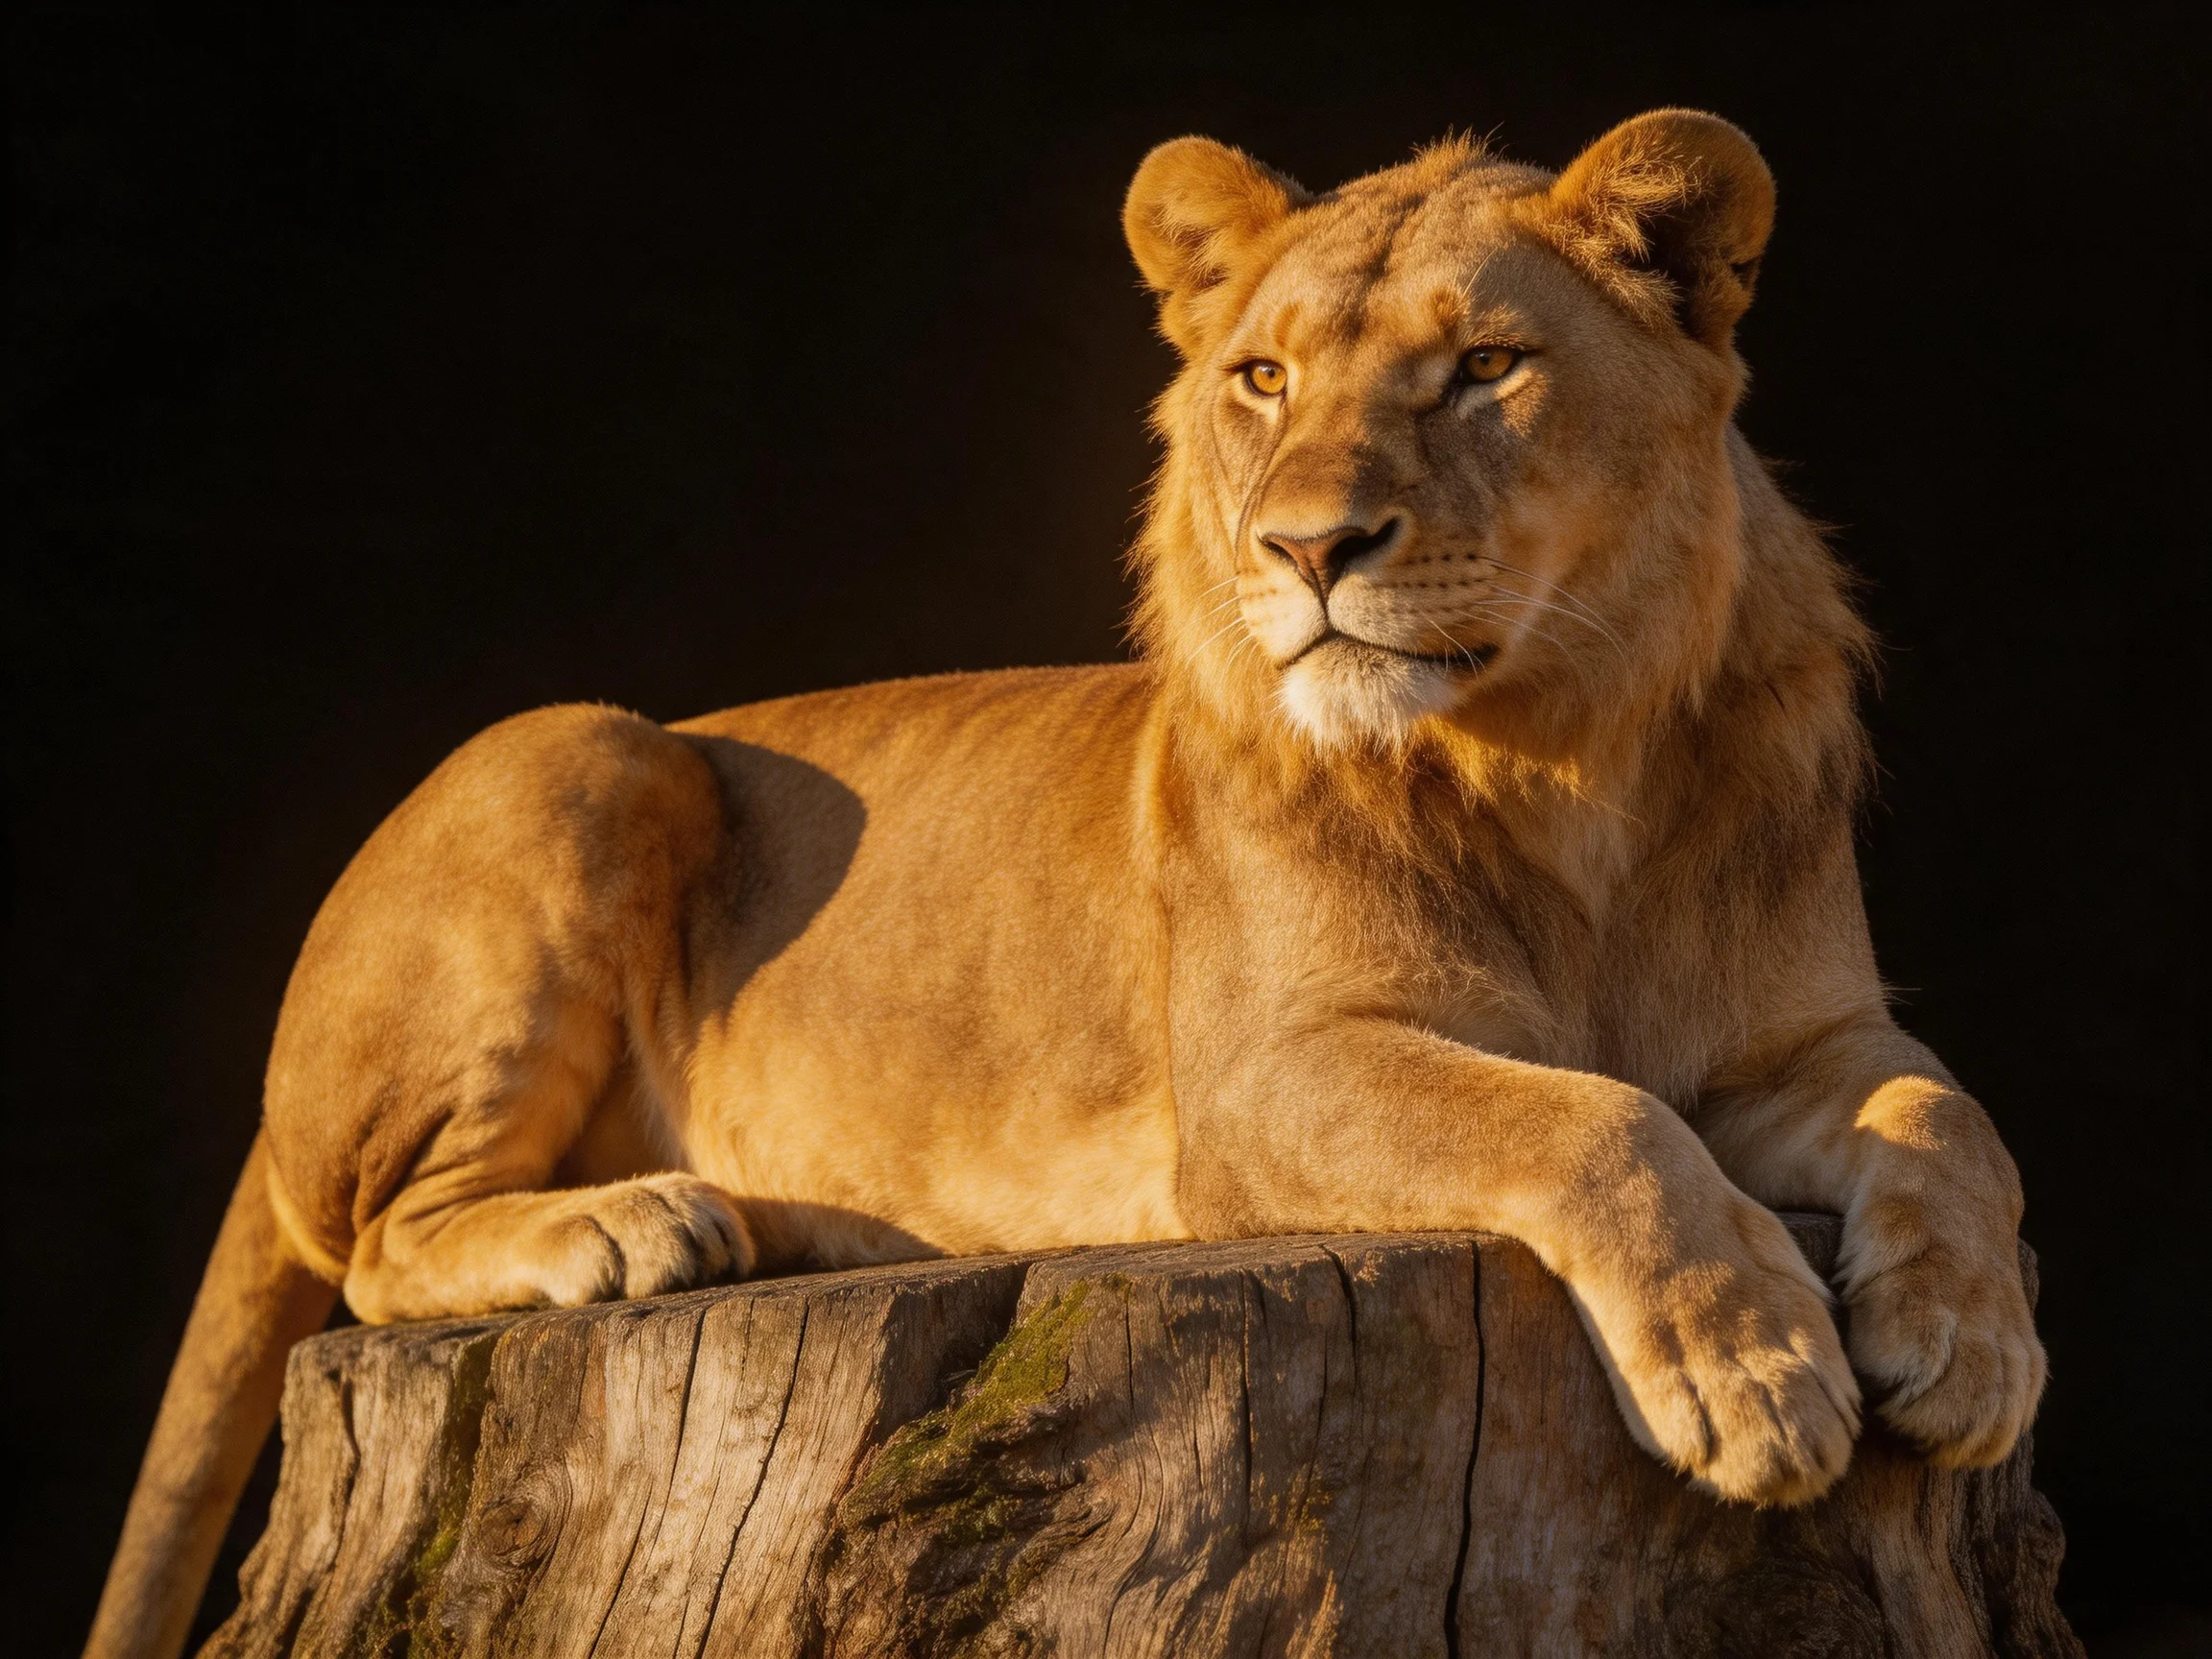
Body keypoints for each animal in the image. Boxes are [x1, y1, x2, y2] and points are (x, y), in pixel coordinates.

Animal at [89, 110, 2046, 1659]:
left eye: (1486, 367)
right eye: (1262, 378)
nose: (1305, 547)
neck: (1565, 767)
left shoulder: (1805, 1037)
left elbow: (1951, 1117)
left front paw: (1968, 1349)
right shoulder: (1266, 1084)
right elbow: (1594, 1124)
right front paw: (1754, 1372)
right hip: (579, 746)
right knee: (367, 1252)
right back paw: (632, 1224)